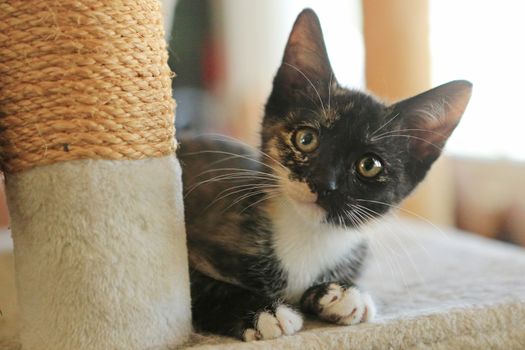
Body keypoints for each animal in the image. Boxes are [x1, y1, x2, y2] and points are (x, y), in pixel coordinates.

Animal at [179, 8, 470, 342]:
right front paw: (264, 312)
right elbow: (199, 288)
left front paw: (341, 294)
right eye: (306, 139)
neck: (309, 234)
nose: (323, 183)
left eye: (369, 165)